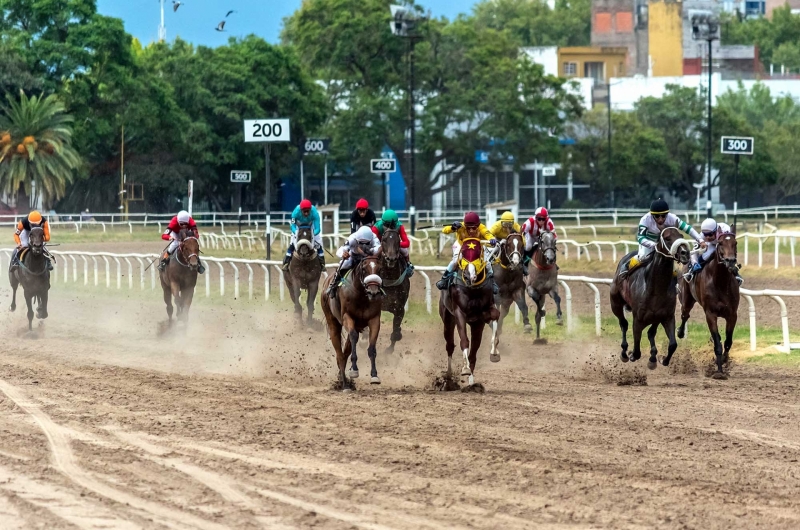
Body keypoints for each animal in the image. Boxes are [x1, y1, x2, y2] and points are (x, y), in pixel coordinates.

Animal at [318, 245, 384, 390]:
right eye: (364, 268)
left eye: (379, 269)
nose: (373, 292)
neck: (361, 295)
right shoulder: (347, 317)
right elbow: (353, 337)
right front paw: (354, 370)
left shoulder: (374, 319)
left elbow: (371, 347)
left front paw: (374, 375)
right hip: (333, 322)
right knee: (339, 353)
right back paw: (344, 384)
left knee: (345, 352)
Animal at [438, 237, 500, 386]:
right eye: (464, 254)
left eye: (479, 254)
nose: (469, 276)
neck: (473, 289)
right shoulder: (459, 313)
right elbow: (464, 341)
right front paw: (465, 368)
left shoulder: (483, 316)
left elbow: (496, 315)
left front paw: (494, 351)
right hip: (447, 319)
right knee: (450, 345)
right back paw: (448, 379)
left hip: (476, 325)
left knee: (473, 352)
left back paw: (471, 383)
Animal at [608, 226, 692, 368]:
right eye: (667, 238)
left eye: (681, 235)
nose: (685, 253)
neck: (656, 289)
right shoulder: (638, 319)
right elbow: (636, 351)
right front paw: (631, 354)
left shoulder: (666, 316)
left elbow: (672, 344)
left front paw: (662, 359)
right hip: (615, 304)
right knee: (623, 324)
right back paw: (624, 352)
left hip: (655, 317)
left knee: (650, 333)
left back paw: (652, 357)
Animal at [680, 233, 740, 378]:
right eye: (721, 243)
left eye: (735, 243)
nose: (730, 261)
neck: (720, 282)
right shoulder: (710, 314)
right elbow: (718, 344)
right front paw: (719, 372)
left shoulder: (732, 315)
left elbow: (728, 342)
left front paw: (724, 360)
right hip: (687, 299)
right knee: (684, 314)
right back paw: (680, 332)